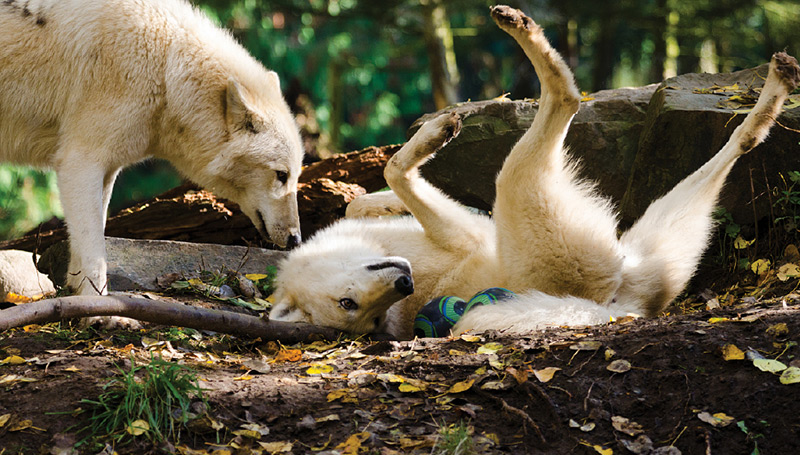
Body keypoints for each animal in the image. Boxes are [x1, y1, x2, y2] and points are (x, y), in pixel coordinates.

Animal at [0, 0, 304, 305]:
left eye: (295, 176)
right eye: (281, 175)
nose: (296, 240)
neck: (166, 69)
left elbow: (88, 241)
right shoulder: (79, 163)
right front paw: (99, 308)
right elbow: (95, 252)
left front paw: (77, 293)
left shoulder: (106, 169)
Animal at [271, 6, 800, 339]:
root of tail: (614, 308)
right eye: (353, 308)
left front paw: (398, 181)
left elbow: (376, 189)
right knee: (565, 97)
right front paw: (432, 141)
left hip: (664, 221)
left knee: (739, 142)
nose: (405, 286)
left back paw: (776, 86)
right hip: (527, 182)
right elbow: (396, 167)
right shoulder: (461, 233)